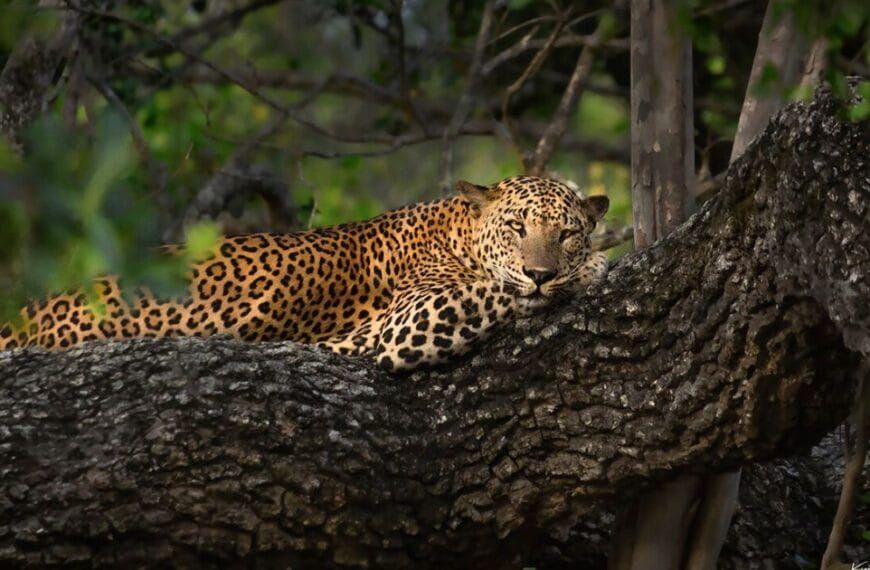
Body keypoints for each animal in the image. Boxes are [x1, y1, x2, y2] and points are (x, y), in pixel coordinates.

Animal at [0, 175, 609, 371]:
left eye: (566, 233)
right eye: (515, 227)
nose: (539, 272)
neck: (454, 230)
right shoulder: (401, 324)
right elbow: (491, 290)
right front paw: (594, 267)